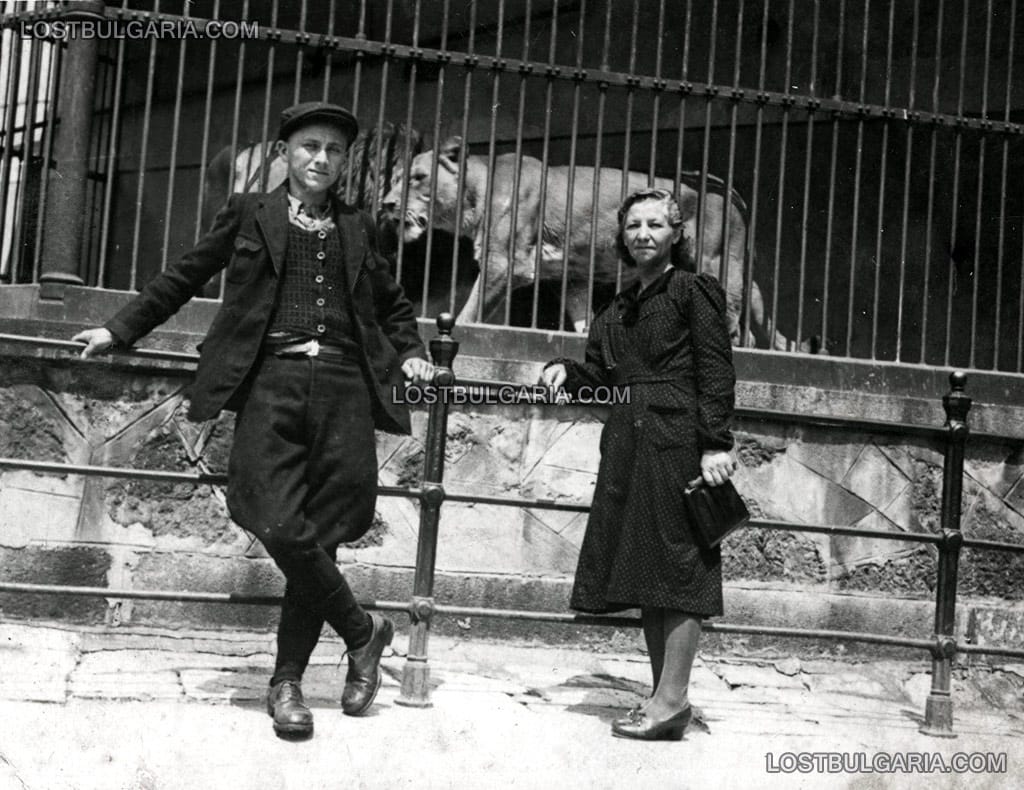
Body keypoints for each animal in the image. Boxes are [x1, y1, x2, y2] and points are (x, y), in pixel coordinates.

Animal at [380, 136, 786, 346]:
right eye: (395, 179)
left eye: (417, 178)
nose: (386, 203)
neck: (474, 194)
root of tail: (729, 189)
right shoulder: (569, 276)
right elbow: (582, 319)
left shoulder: (503, 263)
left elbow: (469, 313)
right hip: (741, 279)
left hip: (716, 263)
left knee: (733, 324)